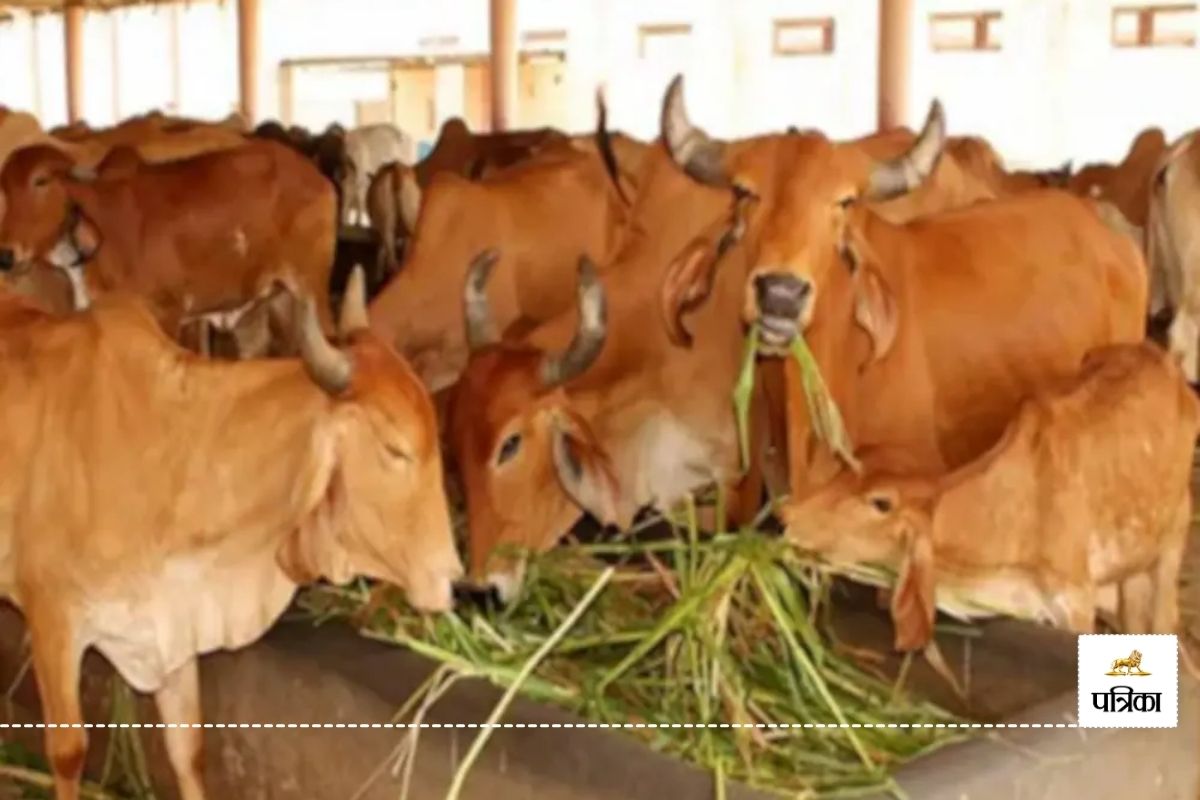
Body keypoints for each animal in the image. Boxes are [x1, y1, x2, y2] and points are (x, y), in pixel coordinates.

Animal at [0, 139, 336, 356]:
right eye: (4, 188)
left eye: (41, 181)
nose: (6, 255)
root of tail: (317, 177)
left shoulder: (168, 315)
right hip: (274, 300)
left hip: (312, 290)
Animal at [0, 269, 461, 800]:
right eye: (394, 448)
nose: (451, 577)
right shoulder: (52, 618)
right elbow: (69, 753)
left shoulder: (173, 627)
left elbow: (189, 751)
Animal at [781, 342, 1196, 651]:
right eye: (845, 470)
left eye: (881, 503)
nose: (788, 516)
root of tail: (1164, 361)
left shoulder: (1074, 600)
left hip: (1172, 538)